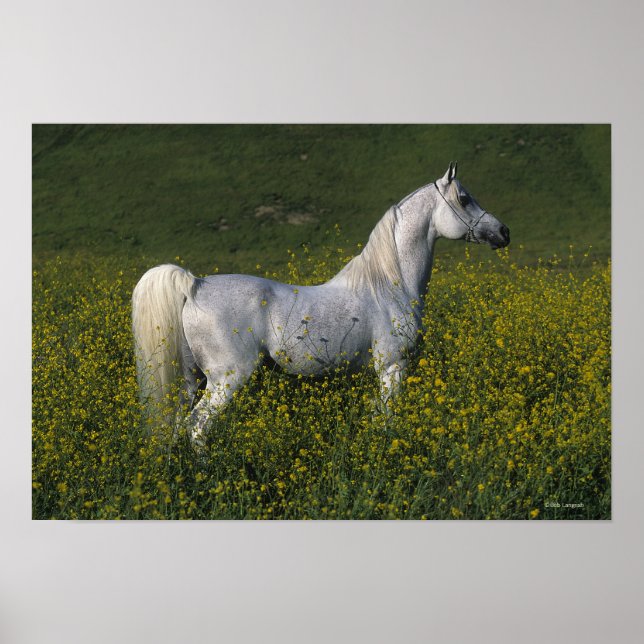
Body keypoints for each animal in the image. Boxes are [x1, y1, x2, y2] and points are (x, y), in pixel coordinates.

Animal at [132, 162, 510, 441]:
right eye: (464, 199)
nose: (503, 232)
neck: (389, 285)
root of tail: (194, 285)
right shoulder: (393, 367)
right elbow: (387, 420)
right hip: (226, 379)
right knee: (197, 426)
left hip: (190, 380)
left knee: (179, 425)